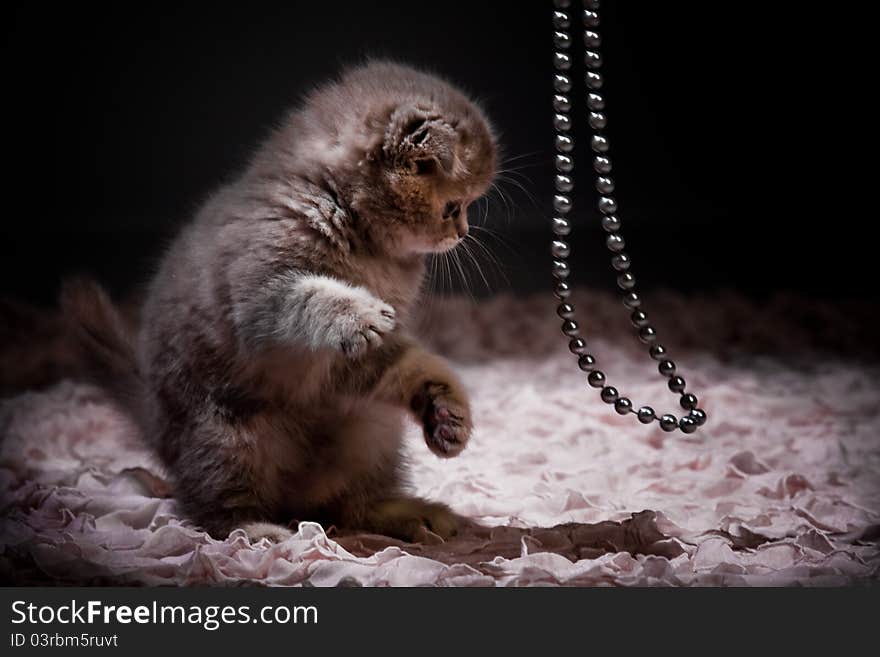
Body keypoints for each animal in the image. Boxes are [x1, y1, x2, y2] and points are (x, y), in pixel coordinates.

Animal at [63, 61, 496, 540]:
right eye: (453, 207)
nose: (463, 232)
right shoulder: (258, 297)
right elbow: (308, 297)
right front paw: (357, 313)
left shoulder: (348, 365)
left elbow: (409, 364)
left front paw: (448, 411)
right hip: (229, 434)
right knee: (213, 508)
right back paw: (258, 530)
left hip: (372, 429)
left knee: (352, 506)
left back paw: (408, 512)